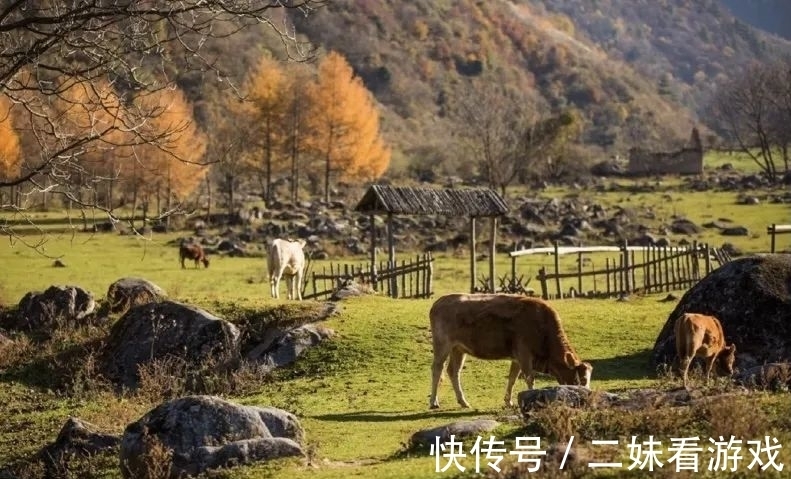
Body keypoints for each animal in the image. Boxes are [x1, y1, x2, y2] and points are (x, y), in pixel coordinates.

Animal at [426, 294, 592, 410]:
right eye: (581, 380)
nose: (587, 398)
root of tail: (439, 302)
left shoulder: (517, 358)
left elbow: (512, 378)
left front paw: (509, 402)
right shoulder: (524, 354)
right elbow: (529, 378)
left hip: (458, 349)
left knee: (453, 371)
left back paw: (463, 402)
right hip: (442, 345)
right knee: (437, 369)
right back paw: (434, 402)